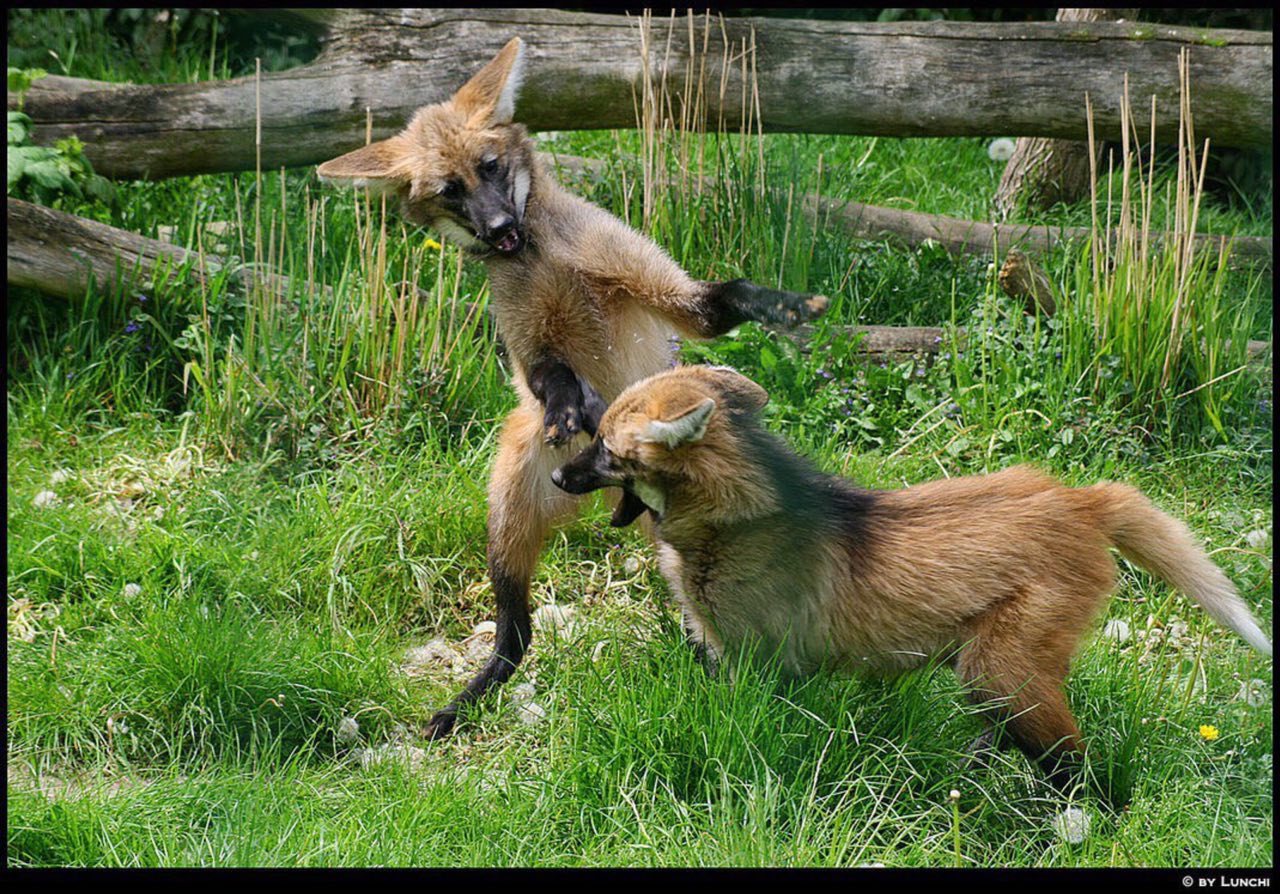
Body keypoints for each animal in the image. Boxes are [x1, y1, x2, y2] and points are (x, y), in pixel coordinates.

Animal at [317, 38, 829, 737]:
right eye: (452, 191)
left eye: (490, 166)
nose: (500, 229)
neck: (540, 255)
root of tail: (598, 494)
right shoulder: (528, 341)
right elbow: (548, 375)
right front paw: (570, 405)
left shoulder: (655, 286)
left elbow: (716, 304)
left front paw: (784, 306)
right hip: (512, 497)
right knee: (515, 630)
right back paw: (466, 699)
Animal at [552, 365, 1272, 787]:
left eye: (606, 449)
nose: (558, 475)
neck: (732, 521)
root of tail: (1082, 498)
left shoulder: (763, 664)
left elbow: (750, 728)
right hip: (992, 673)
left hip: (1002, 667)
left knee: (1074, 760)